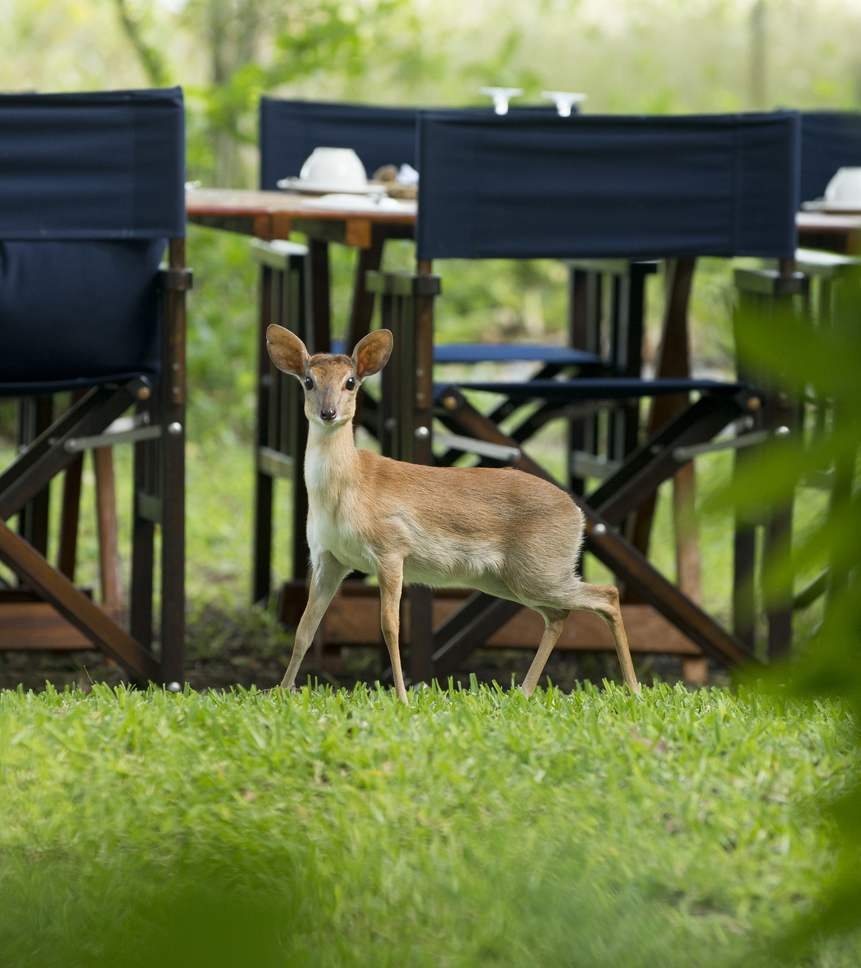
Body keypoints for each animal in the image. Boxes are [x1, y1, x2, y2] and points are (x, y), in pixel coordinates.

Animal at [266, 325, 639, 702]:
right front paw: (280, 691)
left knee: (607, 595)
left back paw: (634, 689)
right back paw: (524, 690)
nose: (328, 412)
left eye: (351, 382)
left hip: (540, 568)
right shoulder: (328, 558)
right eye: (308, 381)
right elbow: (304, 628)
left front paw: (402, 697)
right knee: (560, 615)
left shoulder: (391, 549)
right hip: (510, 578)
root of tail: (578, 514)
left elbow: (390, 627)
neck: (347, 490)